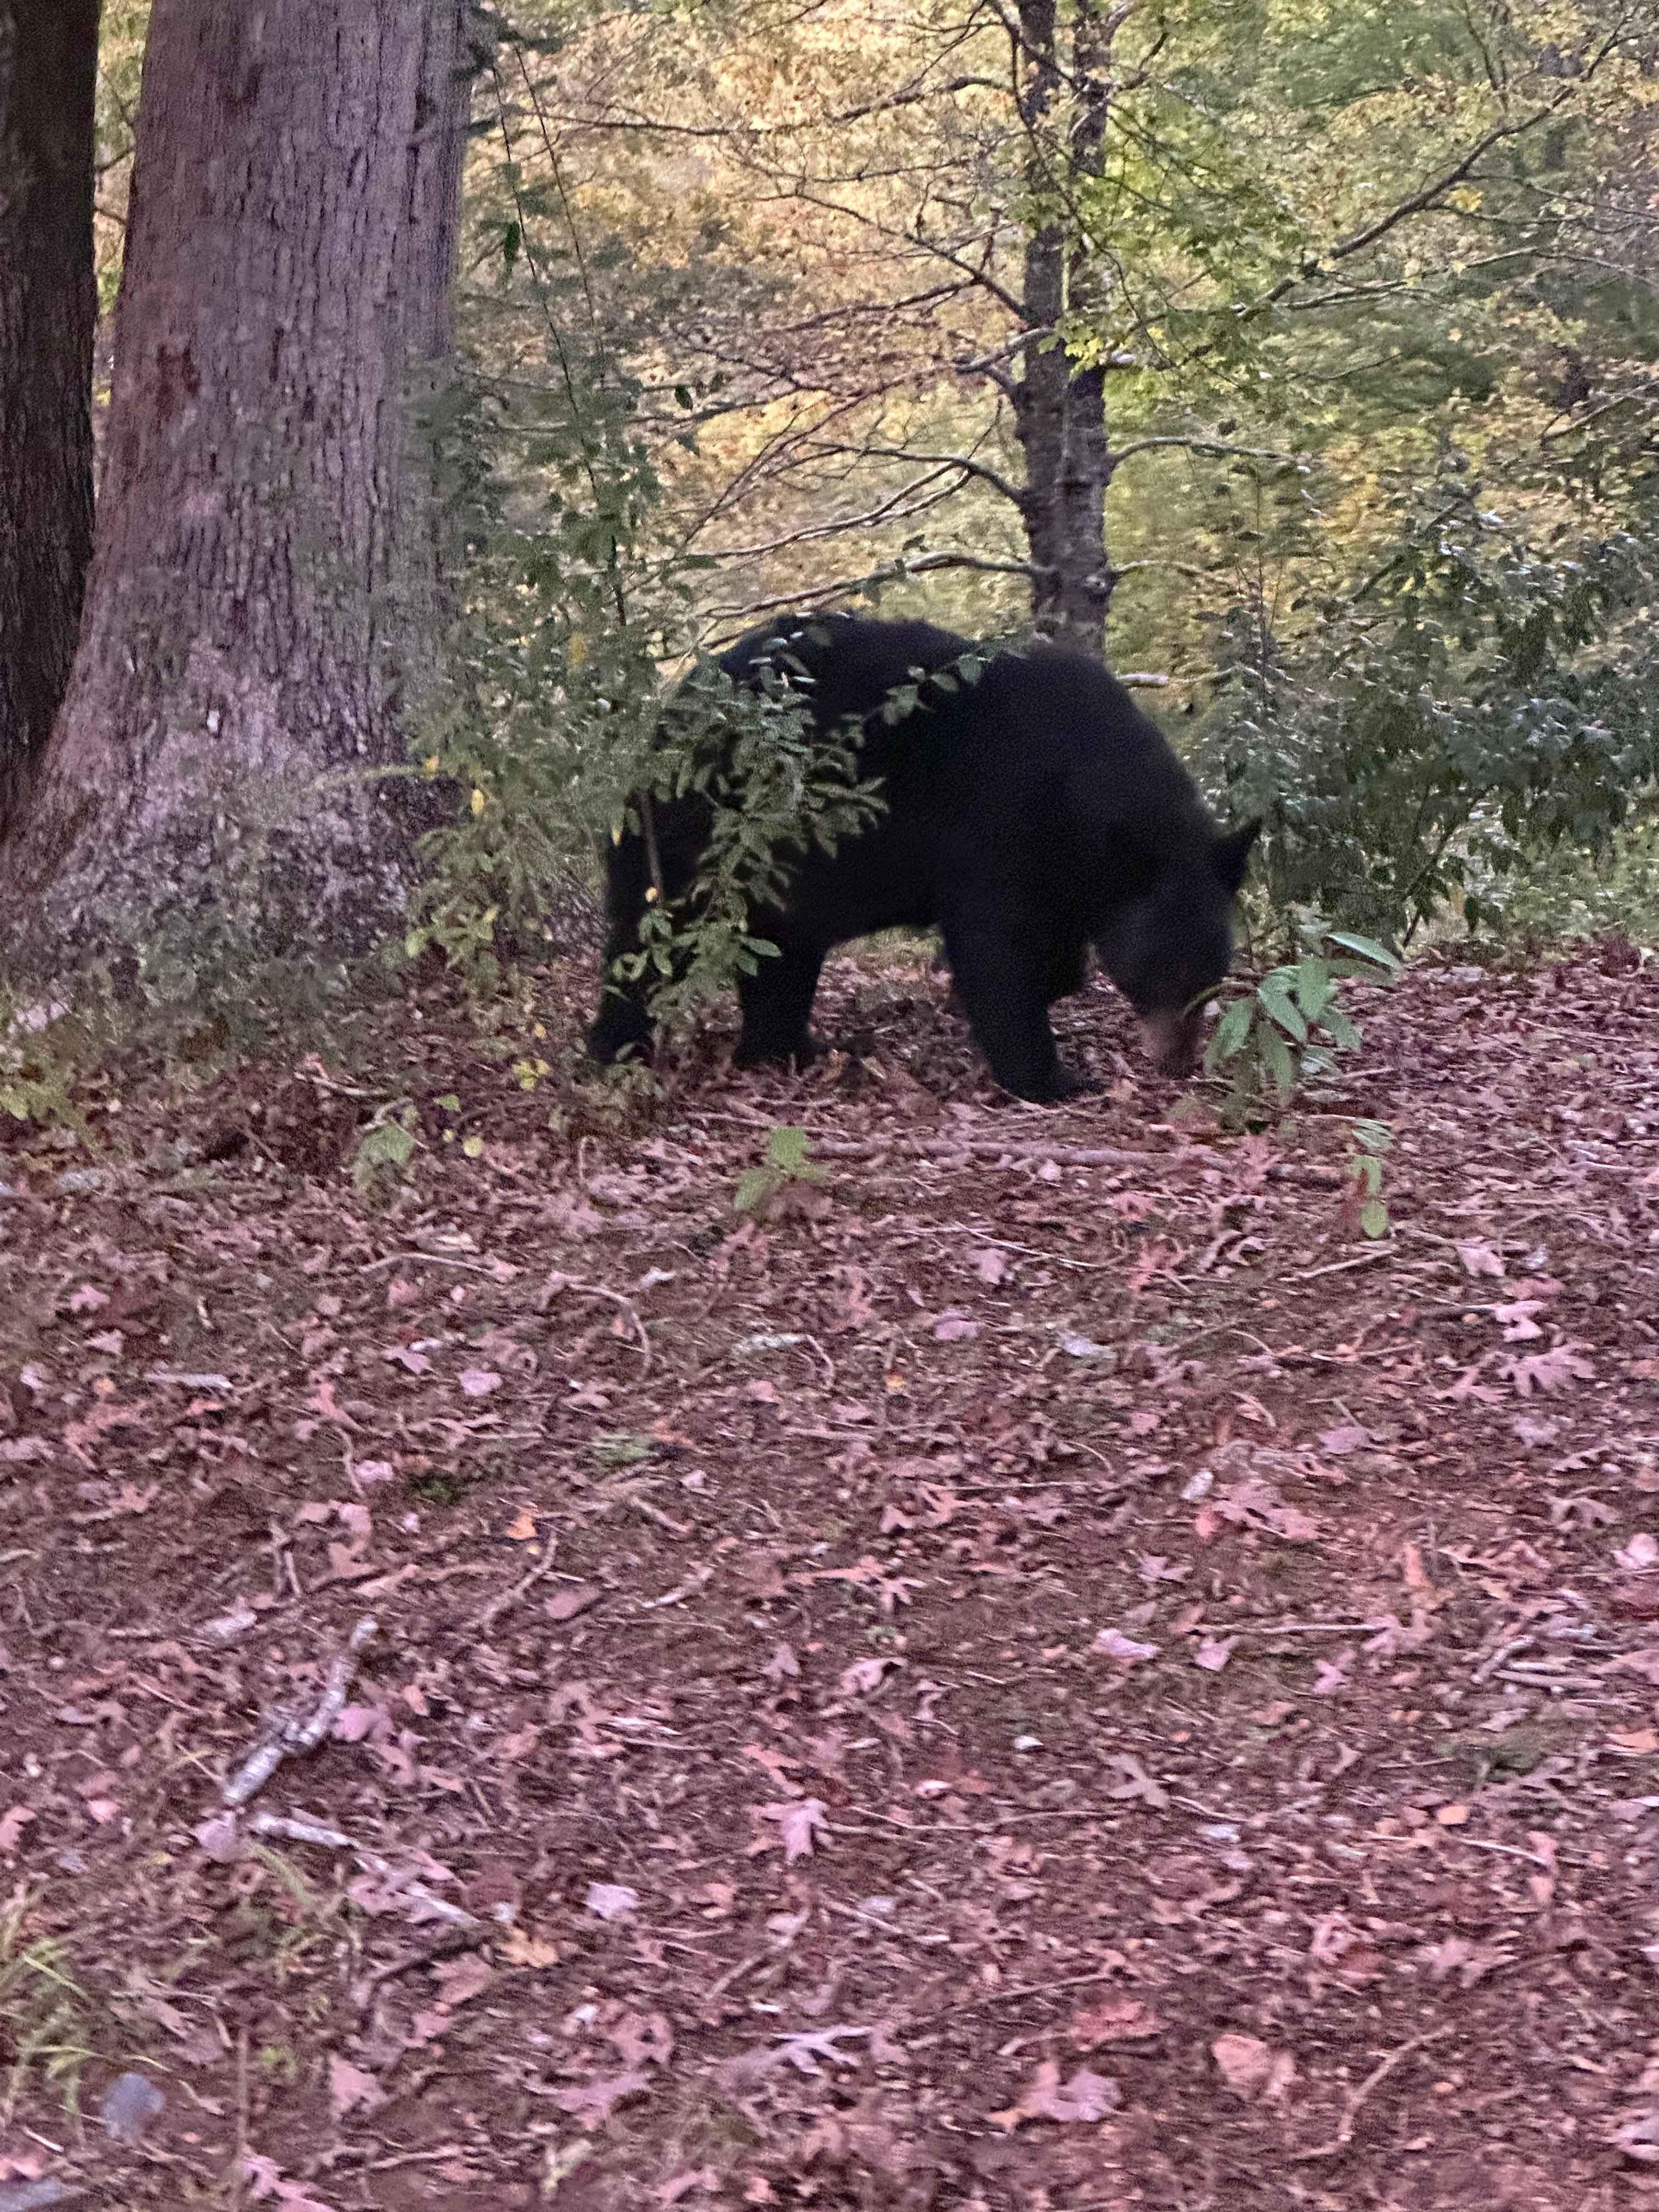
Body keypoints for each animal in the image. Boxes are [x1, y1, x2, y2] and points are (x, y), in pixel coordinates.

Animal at [587, 613, 1258, 1103]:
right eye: (1162, 971)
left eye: (1213, 971)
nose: (1179, 1062)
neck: (1082, 777)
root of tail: (667, 719)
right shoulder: (994, 820)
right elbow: (995, 949)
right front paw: (1049, 1076)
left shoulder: (1065, 868)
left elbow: (1057, 948)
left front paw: (1055, 987)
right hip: (697, 836)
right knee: (649, 943)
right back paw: (618, 1050)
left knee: (782, 954)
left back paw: (789, 1047)